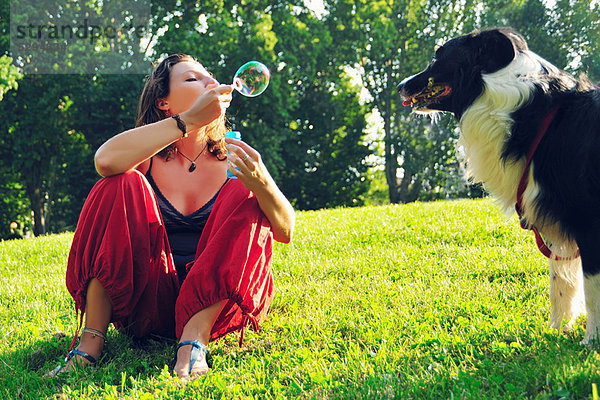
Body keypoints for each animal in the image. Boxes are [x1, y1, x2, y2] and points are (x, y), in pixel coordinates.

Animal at [398, 27, 600, 344]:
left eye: (438, 56)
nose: (399, 86)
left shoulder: (588, 220)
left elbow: (591, 289)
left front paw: (590, 341)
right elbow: (561, 284)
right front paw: (557, 333)